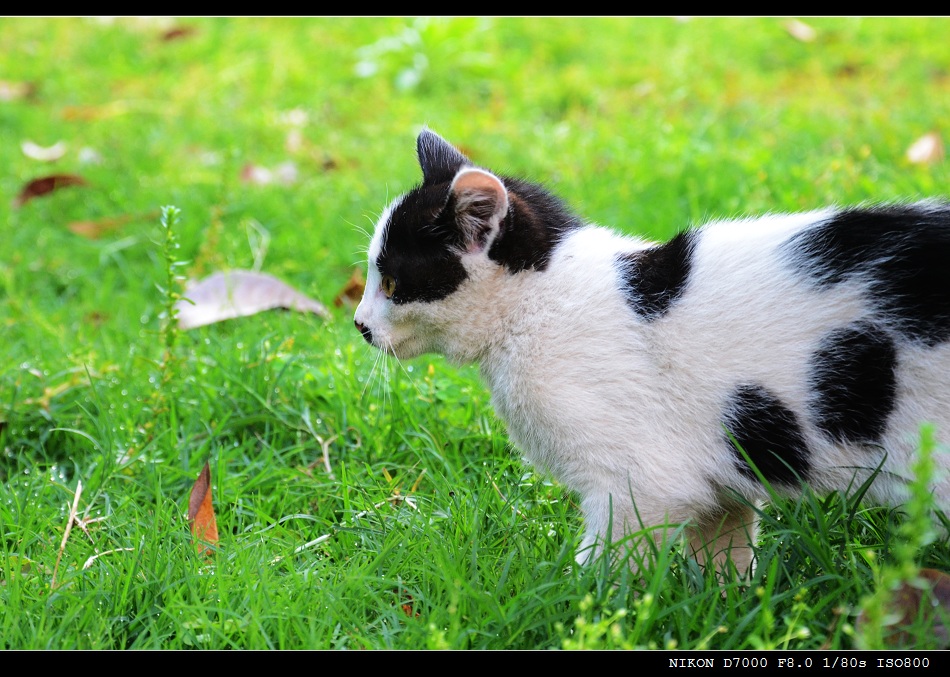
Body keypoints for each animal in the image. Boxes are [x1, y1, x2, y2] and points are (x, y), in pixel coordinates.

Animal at [356, 128, 950, 576]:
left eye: (392, 282)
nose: (359, 324)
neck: (539, 302)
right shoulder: (713, 480)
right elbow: (722, 545)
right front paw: (720, 605)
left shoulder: (638, 483)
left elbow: (606, 566)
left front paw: (580, 612)